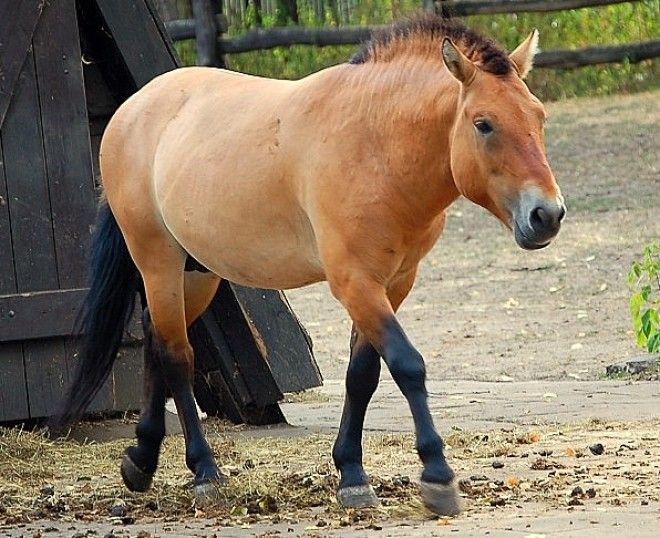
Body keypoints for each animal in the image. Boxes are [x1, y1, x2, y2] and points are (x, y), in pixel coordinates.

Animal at [54, 14, 564, 512]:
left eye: (539, 117)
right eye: (483, 124)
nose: (547, 215)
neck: (375, 145)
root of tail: (131, 110)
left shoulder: (393, 283)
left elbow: (363, 375)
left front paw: (352, 474)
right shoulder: (355, 283)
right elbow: (407, 365)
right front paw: (437, 474)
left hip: (197, 272)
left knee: (156, 339)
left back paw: (141, 459)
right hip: (157, 260)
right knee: (177, 355)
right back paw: (204, 472)